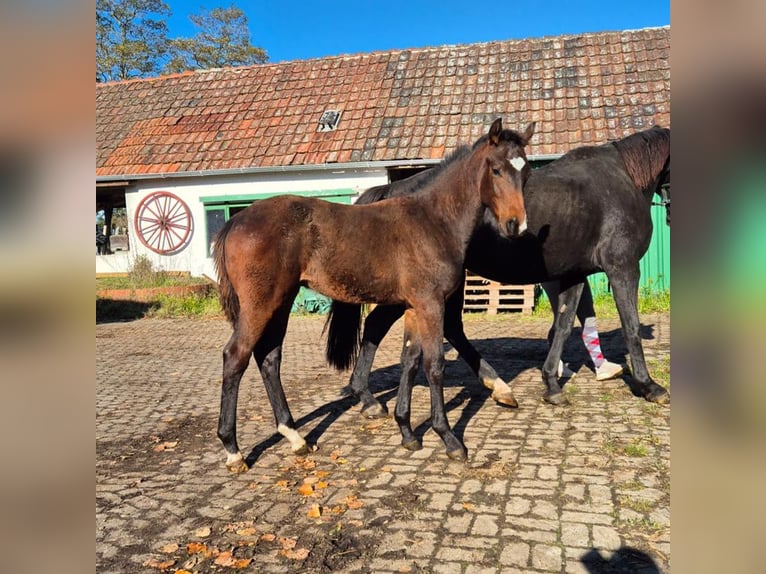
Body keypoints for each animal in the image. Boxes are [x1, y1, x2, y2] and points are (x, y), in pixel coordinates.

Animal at [216, 118, 536, 472]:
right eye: (496, 169)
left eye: (526, 172)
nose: (516, 226)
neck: (434, 221)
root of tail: (236, 220)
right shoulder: (431, 303)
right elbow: (434, 364)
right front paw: (449, 439)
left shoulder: (413, 306)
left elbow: (410, 361)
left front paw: (407, 432)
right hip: (261, 304)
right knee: (236, 356)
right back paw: (233, 450)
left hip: (282, 301)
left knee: (269, 357)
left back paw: (295, 436)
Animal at [328, 127, 668, 410]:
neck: (623, 178)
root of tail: (391, 191)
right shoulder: (622, 267)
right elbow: (630, 325)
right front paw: (648, 385)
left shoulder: (574, 274)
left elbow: (563, 324)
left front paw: (552, 382)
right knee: (388, 325)